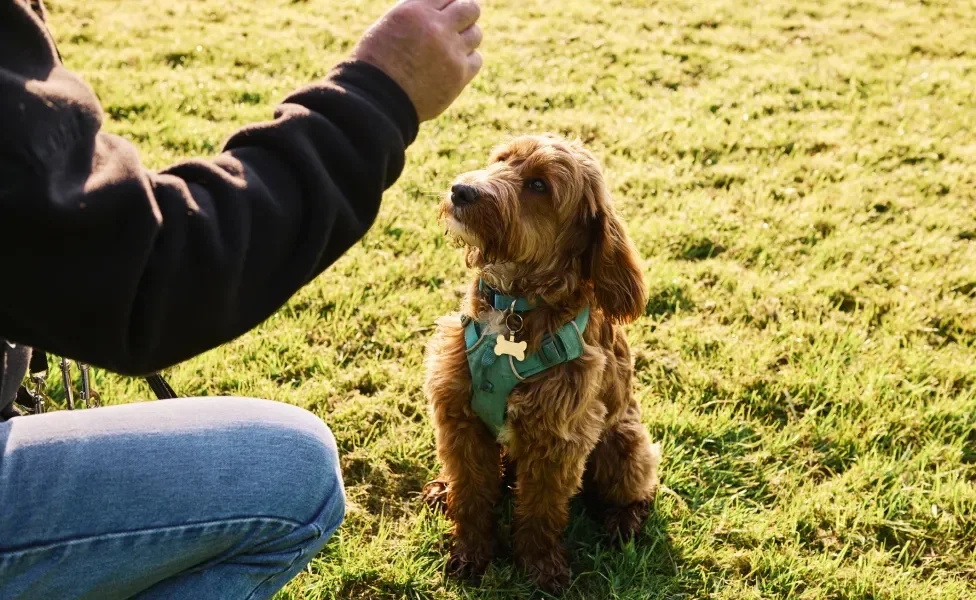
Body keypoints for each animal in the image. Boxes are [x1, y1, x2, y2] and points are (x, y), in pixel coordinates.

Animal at [422, 132, 664, 592]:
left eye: (538, 185)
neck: (515, 304)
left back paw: (624, 521)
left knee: (638, 488)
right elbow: (472, 493)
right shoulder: (460, 417)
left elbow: (541, 510)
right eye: (501, 160)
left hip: (624, 444)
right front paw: (470, 552)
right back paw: (442, 488)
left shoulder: (558, 439)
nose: (460, 190)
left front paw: (540, 567)